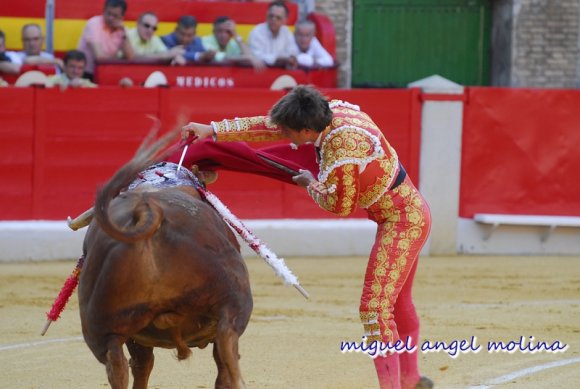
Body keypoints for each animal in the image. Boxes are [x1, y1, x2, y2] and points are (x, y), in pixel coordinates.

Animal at [78, 131, 253, 388]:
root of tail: (149, 214)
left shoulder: (135, 338)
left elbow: (141, 365)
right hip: (233, 308)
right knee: (228, 363)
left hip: (103, 330)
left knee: (118, 366)